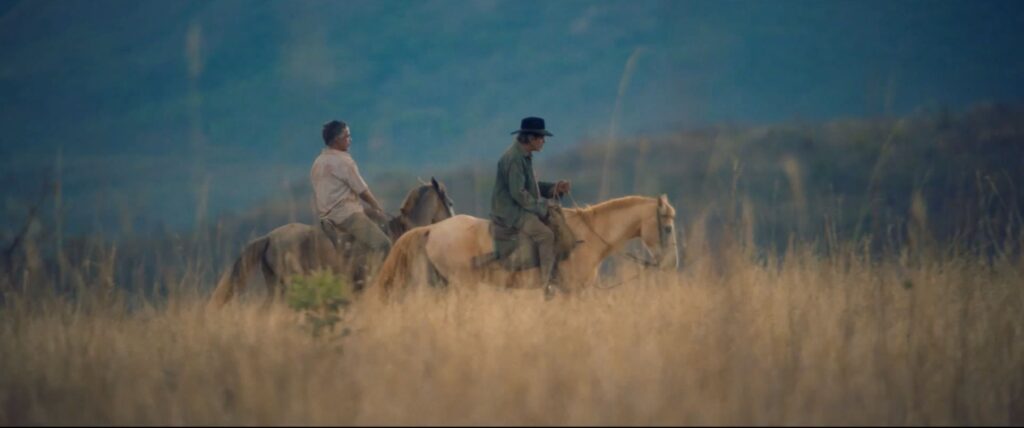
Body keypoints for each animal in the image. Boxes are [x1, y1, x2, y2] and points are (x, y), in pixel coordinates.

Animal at [370, 194, 679, 301]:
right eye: (667, 228)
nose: (671, 264)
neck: (587, 236)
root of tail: (432, 229)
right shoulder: (573, 292)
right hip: (462, 287)